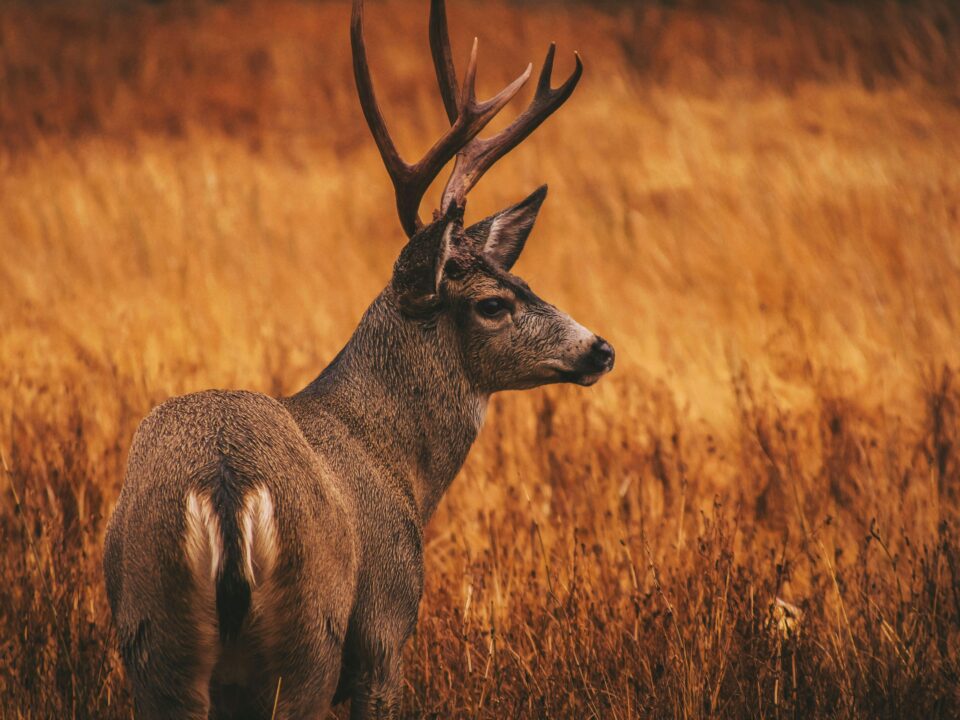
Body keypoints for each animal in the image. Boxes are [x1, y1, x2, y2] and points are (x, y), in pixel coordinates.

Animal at [103, 0, 614, 717]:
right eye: (492, 302)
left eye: (523, 278)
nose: (600, 349)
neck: (397, 461)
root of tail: (226, 483)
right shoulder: (385, 629)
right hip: (311, 633)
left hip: (153, 632)